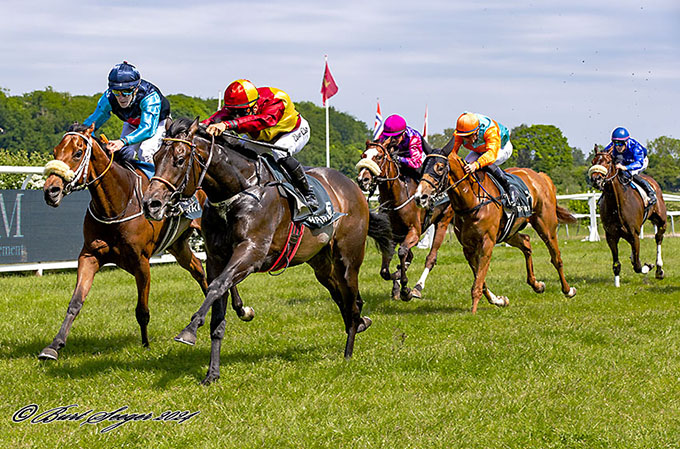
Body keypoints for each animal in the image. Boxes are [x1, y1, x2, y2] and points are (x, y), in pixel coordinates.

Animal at [39, 122, 210, 360]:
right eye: (55, 152)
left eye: (78, 153)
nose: (51, 191)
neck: (117, 204)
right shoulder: (89, 255)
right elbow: (75, 302)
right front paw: (54, 346)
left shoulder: (141, 262)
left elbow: (142, 310)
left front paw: (146, 344)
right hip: (178, 245)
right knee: (198, 270)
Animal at [142, 117, 394, 384]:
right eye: (155, 158)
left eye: (179, 159)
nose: (151, 204)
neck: (239, 191)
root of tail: (353, 187)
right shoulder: (216, 259)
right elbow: (217, 311)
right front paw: (212, 374)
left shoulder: (252, 252)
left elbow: (217, 286)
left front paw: (189, 331)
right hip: (321, 264)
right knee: (342, 297)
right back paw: (360, 323)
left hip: (348, 259)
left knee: (351, 298)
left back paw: (348, 352)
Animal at [356, 140, 456, 300]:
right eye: (363, 156)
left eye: (378, 157)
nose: (362, 179)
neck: (396, 197)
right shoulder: (391, 235)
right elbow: (385, 271)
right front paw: (397, 279)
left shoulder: (414, 231)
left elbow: (402, 253)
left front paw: (405, 289)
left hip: (443, 221)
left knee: (431, 257)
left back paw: (417, 287)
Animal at [412, 149, 576, 314]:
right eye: (422, 168)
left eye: (439, 168)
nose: (420, 197)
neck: (472, 200)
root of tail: (541, 176)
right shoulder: (468, 248)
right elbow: (479, 277)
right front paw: (498, 300)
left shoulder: (487, 243)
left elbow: (479, 279)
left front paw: (473, 313)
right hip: (509, 232)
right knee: (526, 242)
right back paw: (536, 285)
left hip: (546, 226)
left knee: (556, 258)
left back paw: (568, 290)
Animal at [588, 147, 668, 288]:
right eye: (593, 161)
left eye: (608, 162)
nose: (596, 179)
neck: (616, 205)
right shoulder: (611, 236)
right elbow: (617, 264)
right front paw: (617, 285)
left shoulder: (634, 235)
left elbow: (638, 266)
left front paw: (648, 266)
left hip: (661, 220)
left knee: (658, 237)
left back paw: (659, 269)